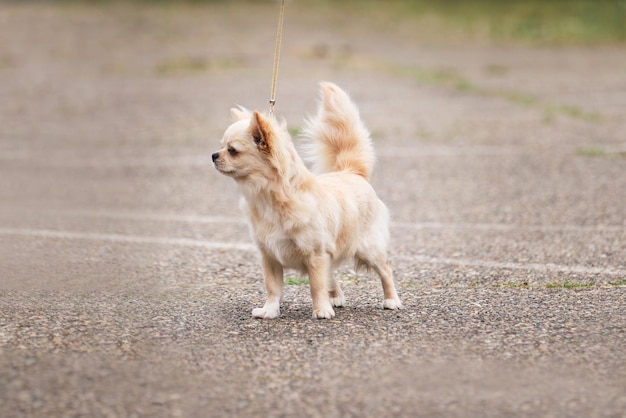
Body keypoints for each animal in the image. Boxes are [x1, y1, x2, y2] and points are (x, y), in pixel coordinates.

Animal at [212, 80, 402, 318]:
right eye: (221, 146)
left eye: (232, 150)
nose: (214, 155)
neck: (269, 199)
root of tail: (351, 172)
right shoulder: (270, 256)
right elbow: (273, 287)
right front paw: (269, 310)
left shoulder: (315, 254)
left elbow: (316, 285)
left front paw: (321, 310)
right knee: (332, 275)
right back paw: (336, 298)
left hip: (369, 249)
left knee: (385, 270)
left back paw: (391, 300)